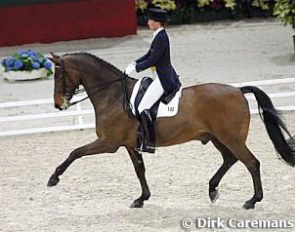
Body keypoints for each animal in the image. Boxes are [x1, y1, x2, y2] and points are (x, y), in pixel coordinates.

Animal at [48, 51, 295, 209]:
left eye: (58, 75)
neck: (113, 96)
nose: (58, 104)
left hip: (231, 138)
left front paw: (53, 178)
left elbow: (75, 152)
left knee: (251, 163)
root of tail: (238, 90)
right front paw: (142, 198)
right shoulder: (129, 144)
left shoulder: (108, 143)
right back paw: (212, 190)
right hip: (218, 138)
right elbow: (139, 170)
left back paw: (252, 200)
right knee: (230, 159)